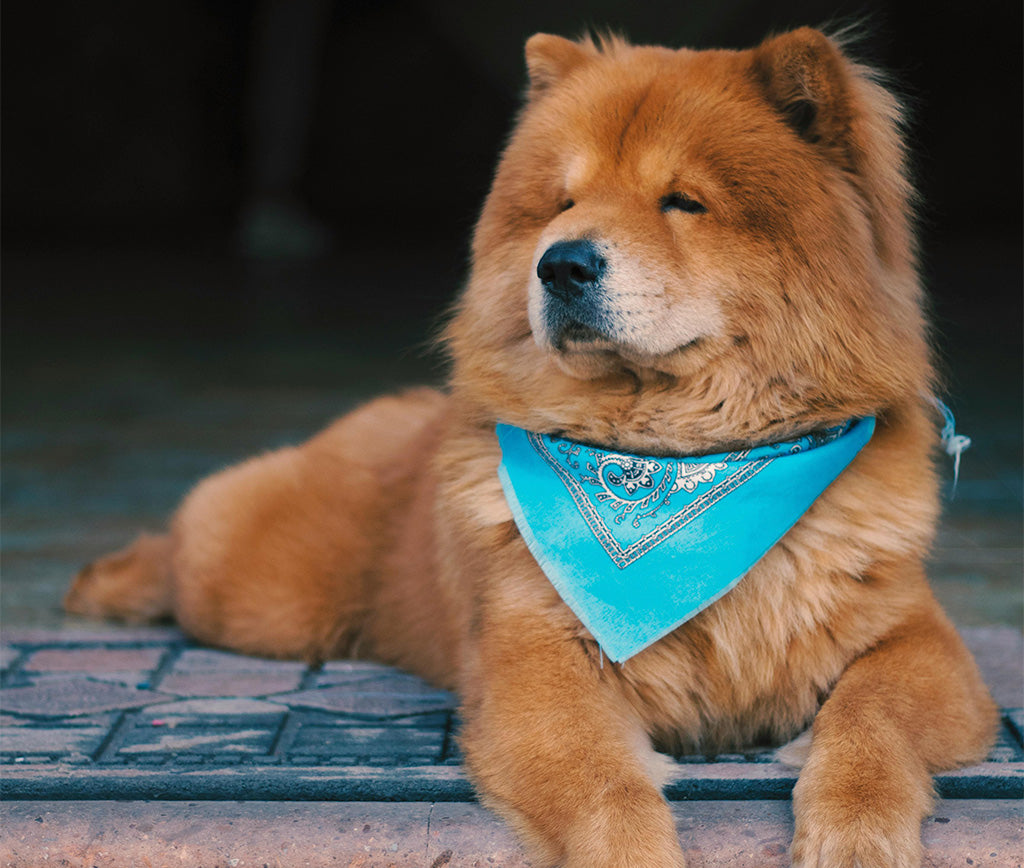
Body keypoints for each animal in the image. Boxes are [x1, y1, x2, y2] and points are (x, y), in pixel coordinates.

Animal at [68, 27, 995, 868]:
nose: (563, 264)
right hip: (262, 598)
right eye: (564, 203)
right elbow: (608, 789)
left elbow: (871, 723)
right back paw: (109, 584)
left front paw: (855, 835)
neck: (678, 459)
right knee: (184, 543)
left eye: (683, 201)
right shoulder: (538, 665)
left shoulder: (917, 643)